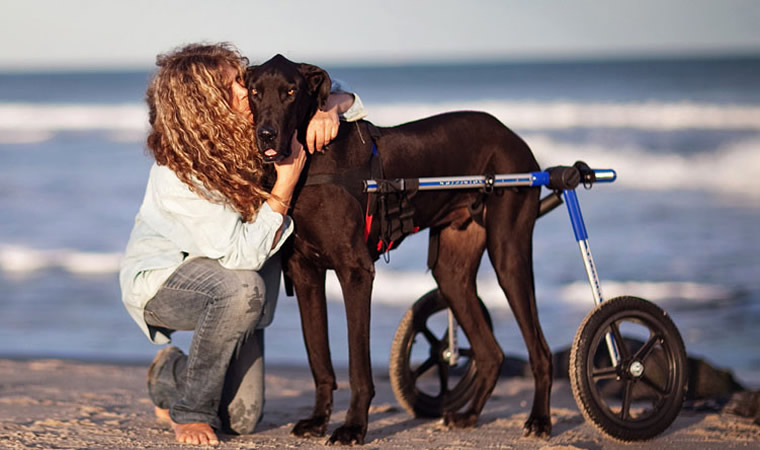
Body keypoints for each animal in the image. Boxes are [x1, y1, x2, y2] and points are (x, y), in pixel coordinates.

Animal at [249, 55, 552, 442]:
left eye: (290, 92)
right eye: (255, 92)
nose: (266, 134)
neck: (313, 161)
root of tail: (513, 137)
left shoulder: (356, 272)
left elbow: (357, 364)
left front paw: (353, 427)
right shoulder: (305, 275)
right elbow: (319, 359)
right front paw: (318, 420)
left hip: (508, 252)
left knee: (539, 350)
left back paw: (539, 420)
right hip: (451, 270)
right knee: (491, 352)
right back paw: (468, 415)